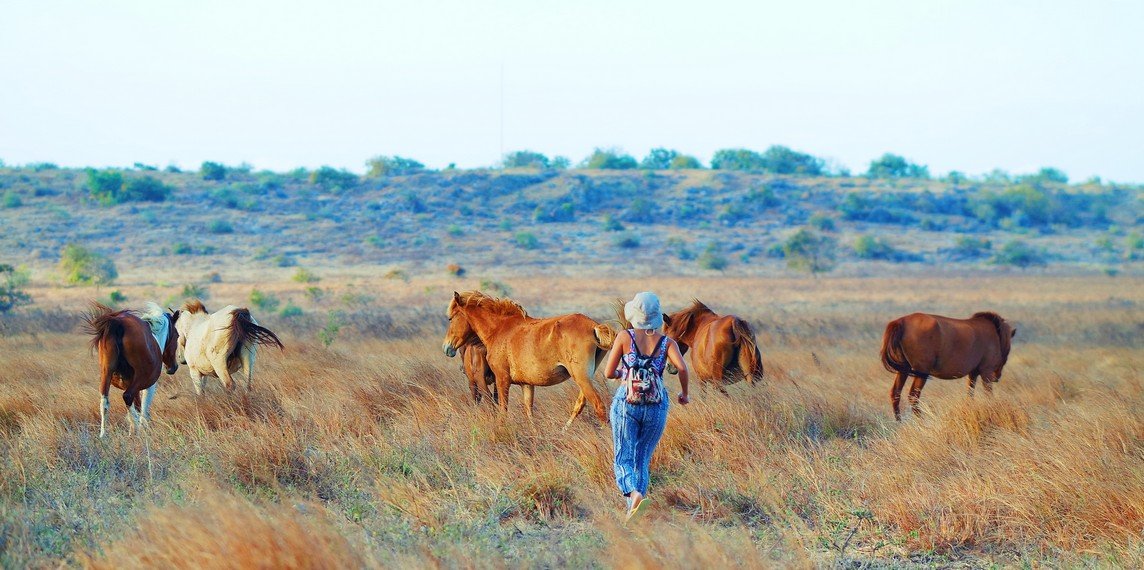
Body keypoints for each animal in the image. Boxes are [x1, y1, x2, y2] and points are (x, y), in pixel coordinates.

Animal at [84, 302, 180, 437]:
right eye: (177, 336)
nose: (173, 367)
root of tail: (117, 323)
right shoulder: (149, 385)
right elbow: (144, 409)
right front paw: (142, 428)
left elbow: (137, 406)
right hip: (139, 378)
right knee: (127, 396)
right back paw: (136, 429)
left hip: (106, 374)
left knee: (104, 402)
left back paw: (103, 435)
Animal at [439, 291, 617, 425]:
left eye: (450, 318)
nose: (446, 347)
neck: (500, 329)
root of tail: (594, 326)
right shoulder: (527, 385)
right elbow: (529, 413)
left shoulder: (501, 380)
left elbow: (502, 410)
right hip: (585, 379)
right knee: (580, 404)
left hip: (581, 377)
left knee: (599, 407)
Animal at [878, 309, 1015, 421]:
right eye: (1007, 350)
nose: (997, 377)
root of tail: (900, 322)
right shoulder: (986, 372)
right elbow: (988, 396)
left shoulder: (973, 373)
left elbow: (970, 395)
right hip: (921, 373)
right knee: (913, 396)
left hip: (904, 370)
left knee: (896, 393)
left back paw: (899, 422)